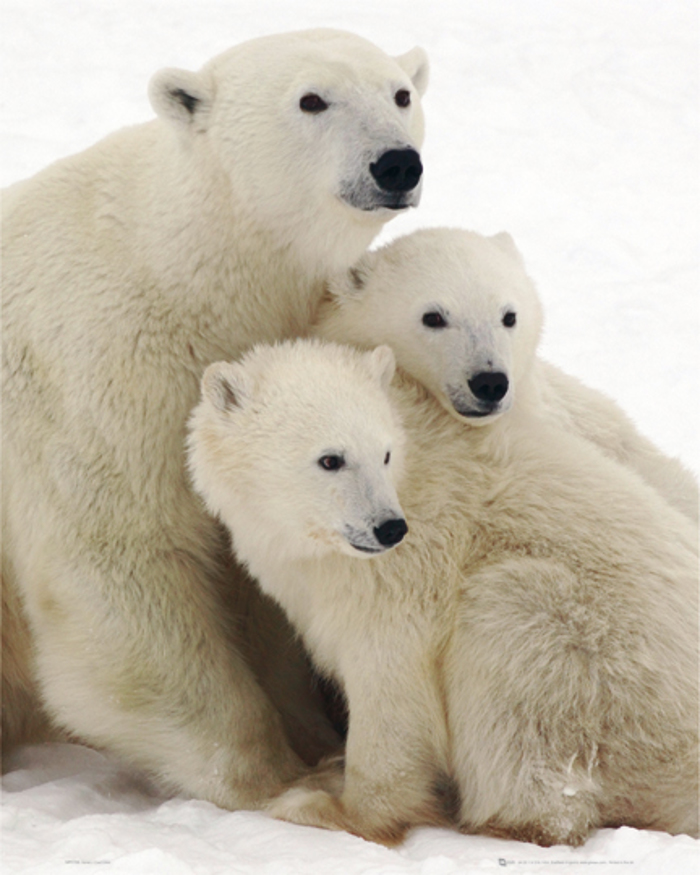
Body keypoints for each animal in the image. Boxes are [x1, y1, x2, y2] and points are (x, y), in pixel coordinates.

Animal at [0, 28, 429, 809]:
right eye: (311, 99)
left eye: (400, 93)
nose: (395, 163)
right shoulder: (98, 378)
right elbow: (120, 567)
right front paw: (284, 783)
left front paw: (315, 738)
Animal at [187, 336, 698, 839]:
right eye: (330, 459)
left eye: (385, 453)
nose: (389, 528)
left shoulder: (405, 574)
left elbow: (390, 678)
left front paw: (329, 804)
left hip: (601, 668)